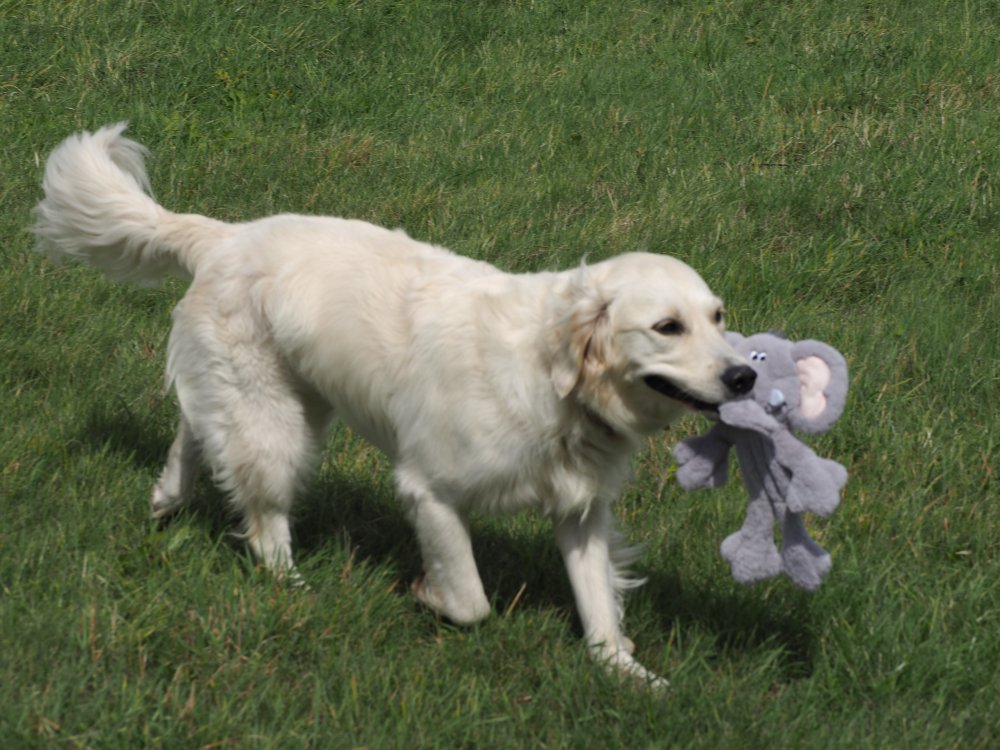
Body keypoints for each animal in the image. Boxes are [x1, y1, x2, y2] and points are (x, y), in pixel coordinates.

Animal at [33, 125, 756, 688]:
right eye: (667, 327)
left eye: (718, 317)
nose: (745, 375)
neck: (553, 380)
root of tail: (227, 236)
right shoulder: (429, 490)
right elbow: (472, 600)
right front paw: (429, 595)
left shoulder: (582, 512)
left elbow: (599, 602)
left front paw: (625, 672)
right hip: (276, 427)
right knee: (264, 522)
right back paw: (294, 589)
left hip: (285, 399)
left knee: (195, 429)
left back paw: (167, 496)